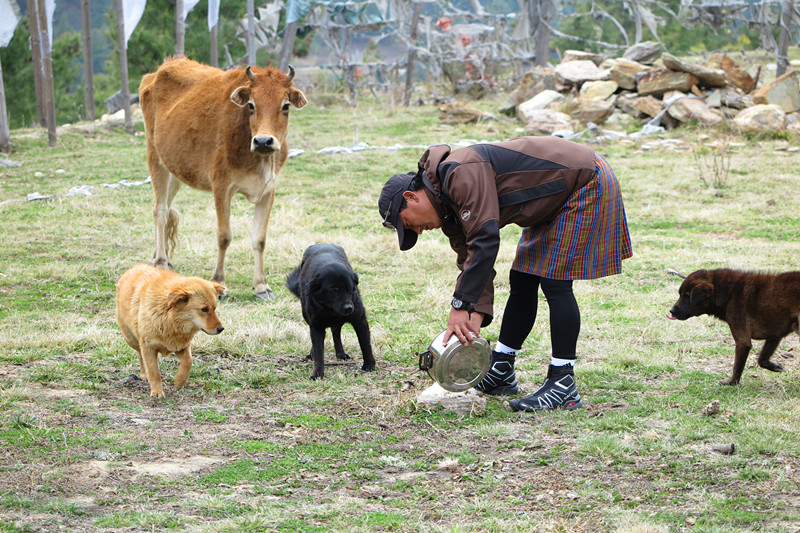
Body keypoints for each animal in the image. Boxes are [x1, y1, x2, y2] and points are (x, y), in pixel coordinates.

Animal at [114, 264, 225, 394]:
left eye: (214, 308)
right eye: (204, 309)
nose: (221, 328)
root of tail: (135, 267)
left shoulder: (181, 346)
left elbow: (188, 361)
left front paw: (179, 380)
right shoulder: (148, 346)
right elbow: (154, 372)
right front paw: (157, 392)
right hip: (131, 339)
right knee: (140, 355)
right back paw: (144, 373)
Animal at [138, 58, 306, 302]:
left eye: (285, 105)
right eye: (251, 105)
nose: (263, 141)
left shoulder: (268, 190)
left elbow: (259, 239)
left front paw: (261, 285)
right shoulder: (221, 187)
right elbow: (224, 236)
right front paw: (219, 282)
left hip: (175, 168)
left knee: (166, 208)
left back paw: (161, 256)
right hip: (155, 157)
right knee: (159, 210)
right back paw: (160, 261)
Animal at [286, 243, 376, 380]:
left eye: (350, 289)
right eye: (333, 291)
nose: (349, 308)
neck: (330, 309)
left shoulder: (359, 321)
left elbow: (365, 344)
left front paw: (369, 364)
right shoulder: (316, 325)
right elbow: (319, 352)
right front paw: (318, 374)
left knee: (336, 331)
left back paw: (340, 353)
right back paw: (312, 354)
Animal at [668, 268, 800, 384]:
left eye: (687, 296)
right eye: (680, 294)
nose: (671, 311)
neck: (729, 293)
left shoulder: (743, 342)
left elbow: (737, 367)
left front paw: (731, 382)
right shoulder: (774, 335)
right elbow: (761, 359)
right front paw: (775, 366)